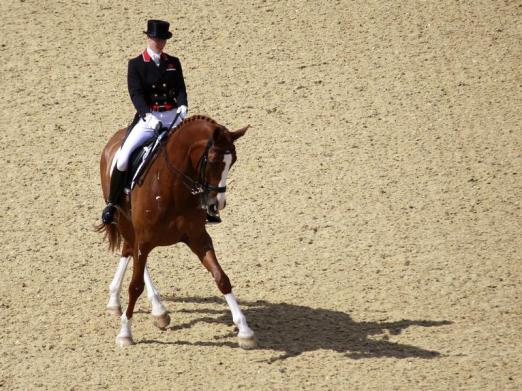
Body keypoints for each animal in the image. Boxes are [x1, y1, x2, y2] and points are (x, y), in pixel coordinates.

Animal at [96, 115, 256, 350]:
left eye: (233, 160)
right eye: (213, 160)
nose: (217, 204)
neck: (172, 187)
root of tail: (116, 137)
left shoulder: (198, 237)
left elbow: (222, 278)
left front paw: (245, 331)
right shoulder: (145, 240)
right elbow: (135, 286)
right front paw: (125, 333)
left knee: (128, 250)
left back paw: (136, 305)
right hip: (124, 219)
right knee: (132, 253)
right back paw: (148, 307)